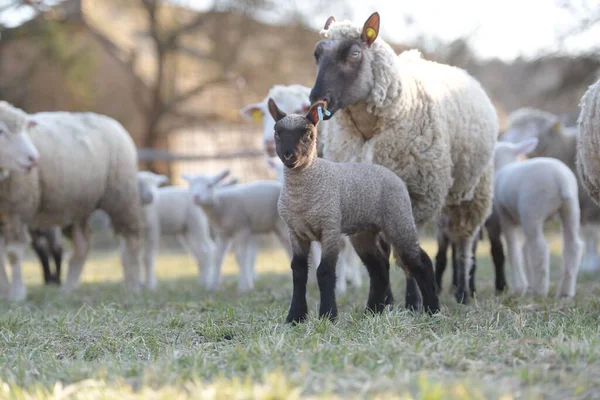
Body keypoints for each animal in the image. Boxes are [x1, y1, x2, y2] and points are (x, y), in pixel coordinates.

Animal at [0, 100, 143, 300]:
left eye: (26, 130)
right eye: (1, 131)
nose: (34, 158)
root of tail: (110, 121)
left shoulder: (17, 210)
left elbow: (13, 254)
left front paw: (16, 294)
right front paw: (4, 292)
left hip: (122, 195)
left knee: (132, 238)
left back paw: (133, 286)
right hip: (75, 207)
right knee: (82, 245)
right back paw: (68, 289)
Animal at [270, 98, 438, 324]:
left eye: (307, 133)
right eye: (277, 133)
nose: (289, 155)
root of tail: (392, 175)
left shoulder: (330, 227)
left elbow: (325, 272)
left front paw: (328, 315)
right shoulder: (296, 232)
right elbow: (298, 272)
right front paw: (295, 316)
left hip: (398, 218)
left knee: (420, 261)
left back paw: (432, 309)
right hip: (364, 233)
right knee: (379, 269)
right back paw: (372, 311)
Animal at [310, 12, 496, 306]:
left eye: (354, 53)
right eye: (316, 54)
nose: (317, 99)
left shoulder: (416, 194)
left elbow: (405, 251)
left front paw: (412, 302)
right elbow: (383, 252)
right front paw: (386, 300)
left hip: (475, 190)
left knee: (464, 242)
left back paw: (464, 293)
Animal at [492, 138, 580, 296]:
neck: (504, 164)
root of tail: (560, 179)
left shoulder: (505, 216)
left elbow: (513, 249)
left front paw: (520, 287)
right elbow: (525, 248)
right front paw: (528, 284)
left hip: (532, 209)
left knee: (539, 248)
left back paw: (540, 291)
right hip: (571, 208)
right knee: (573, 246)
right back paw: (565, 292)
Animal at [502, 107, 600, 272]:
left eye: (532, 128)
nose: (506, 140)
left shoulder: (590, 205)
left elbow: (592, 234)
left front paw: (592, 264)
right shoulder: (580, 203)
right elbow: (585, 233)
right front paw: (587, 262)